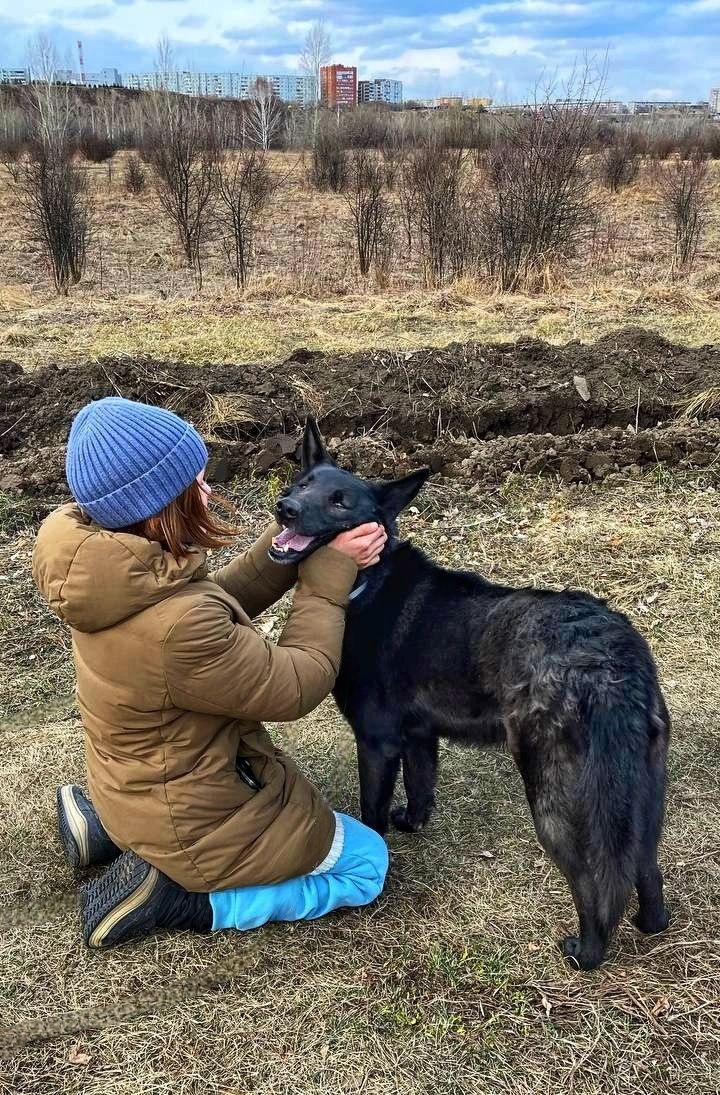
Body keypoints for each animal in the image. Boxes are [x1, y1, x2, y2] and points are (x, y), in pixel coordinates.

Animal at [269, 420, 671, 969]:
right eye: (303, 482)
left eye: (340, 502)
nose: (285, 507)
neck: (366, 580)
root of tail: (613, 660)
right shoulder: (418, 738)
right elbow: (421, 790)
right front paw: (412, 824)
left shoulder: (376, 743)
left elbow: (373, 809)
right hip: (643, 795)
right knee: (645, 869)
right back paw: (652, 924)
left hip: (559, 799)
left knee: (595, 882)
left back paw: (585, 951)